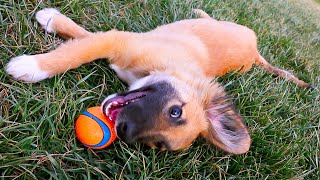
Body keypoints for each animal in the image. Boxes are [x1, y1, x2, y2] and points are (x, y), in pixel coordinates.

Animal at [4, 8, 310, 154]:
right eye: (175, 112)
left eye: (158, 145)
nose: (123, 129)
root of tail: (256, 54)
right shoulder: (119, 40)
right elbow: (76, 51)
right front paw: (34, 64)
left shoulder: (118, 42)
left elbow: (82, 39)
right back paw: (200, 12)